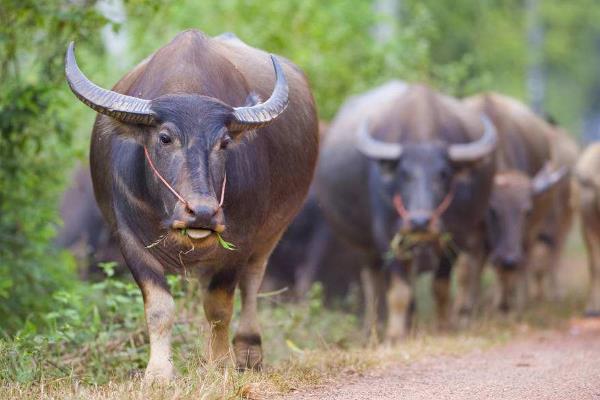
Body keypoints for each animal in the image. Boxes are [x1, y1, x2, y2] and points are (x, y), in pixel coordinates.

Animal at [64, 29, 318, 380]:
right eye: (164, 138)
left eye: (224, 142)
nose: (203, 213)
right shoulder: (129, 240)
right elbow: (159, 308)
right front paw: (158, 373)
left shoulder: (240, 240)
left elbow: (219, 306)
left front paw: (220, 363)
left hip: (272, 233)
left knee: (252, 282)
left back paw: (248, 351)